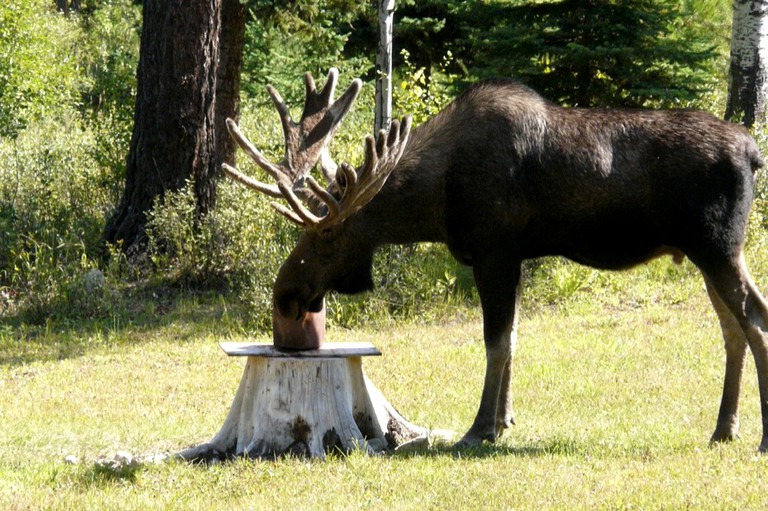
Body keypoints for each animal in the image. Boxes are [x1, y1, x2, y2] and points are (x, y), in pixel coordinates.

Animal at [220, 69, 768, 452]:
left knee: (754, 318)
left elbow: (496, 342)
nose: (285, 293)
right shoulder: (513, 256)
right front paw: (504, 420)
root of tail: (752, 150)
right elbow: (514, 337)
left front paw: (481, 427)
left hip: (716, 246)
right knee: (732, 329)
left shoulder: (493, 250)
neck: (434, 202)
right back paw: (724, 429)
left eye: (328, 232)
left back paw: (758, 438)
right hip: (710, 252)